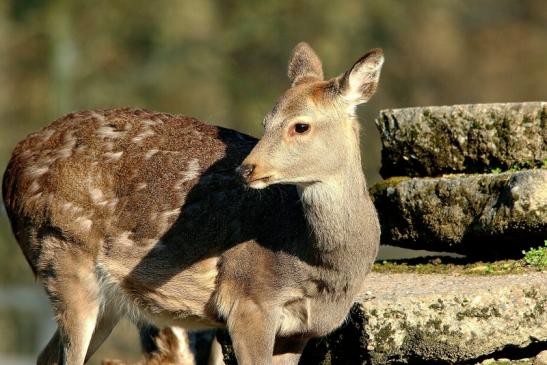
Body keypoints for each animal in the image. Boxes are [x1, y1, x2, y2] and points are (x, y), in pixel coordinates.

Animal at [2, 41, 384, 362]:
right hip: (60, 249)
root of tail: (11, 167)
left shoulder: (299, 331)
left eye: (301, 126)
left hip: (105, 298)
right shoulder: (249, 301)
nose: (246, 168)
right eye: (265, 121)